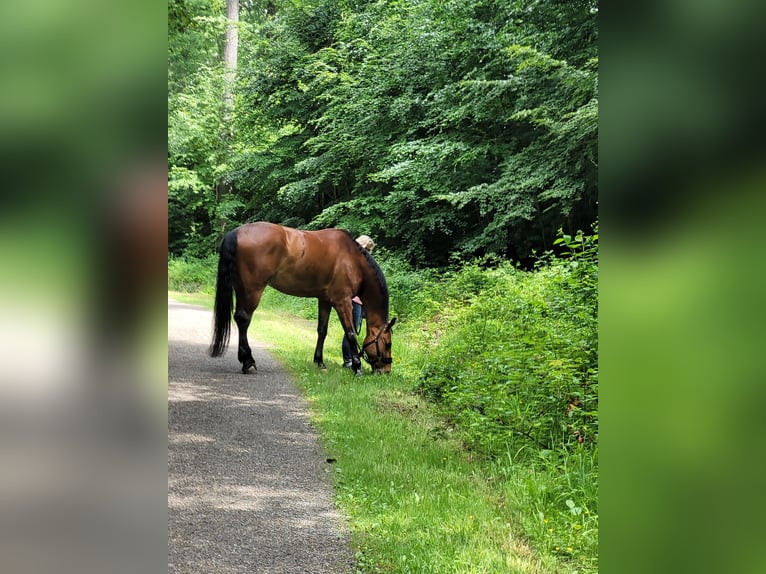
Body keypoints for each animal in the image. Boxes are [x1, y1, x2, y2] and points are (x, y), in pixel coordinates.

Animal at [212, 222, 402, 378]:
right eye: (387, 343)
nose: (385, 371)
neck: (352, 259)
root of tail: (235, 233)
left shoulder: (325, 300)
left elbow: (322, 330)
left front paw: (319, 362)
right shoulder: (343, 301)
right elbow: (351, 334)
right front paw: (357, 368)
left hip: (241, 288)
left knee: (239, 318)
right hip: (253, 290)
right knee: (244, 319)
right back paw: (249, 362)